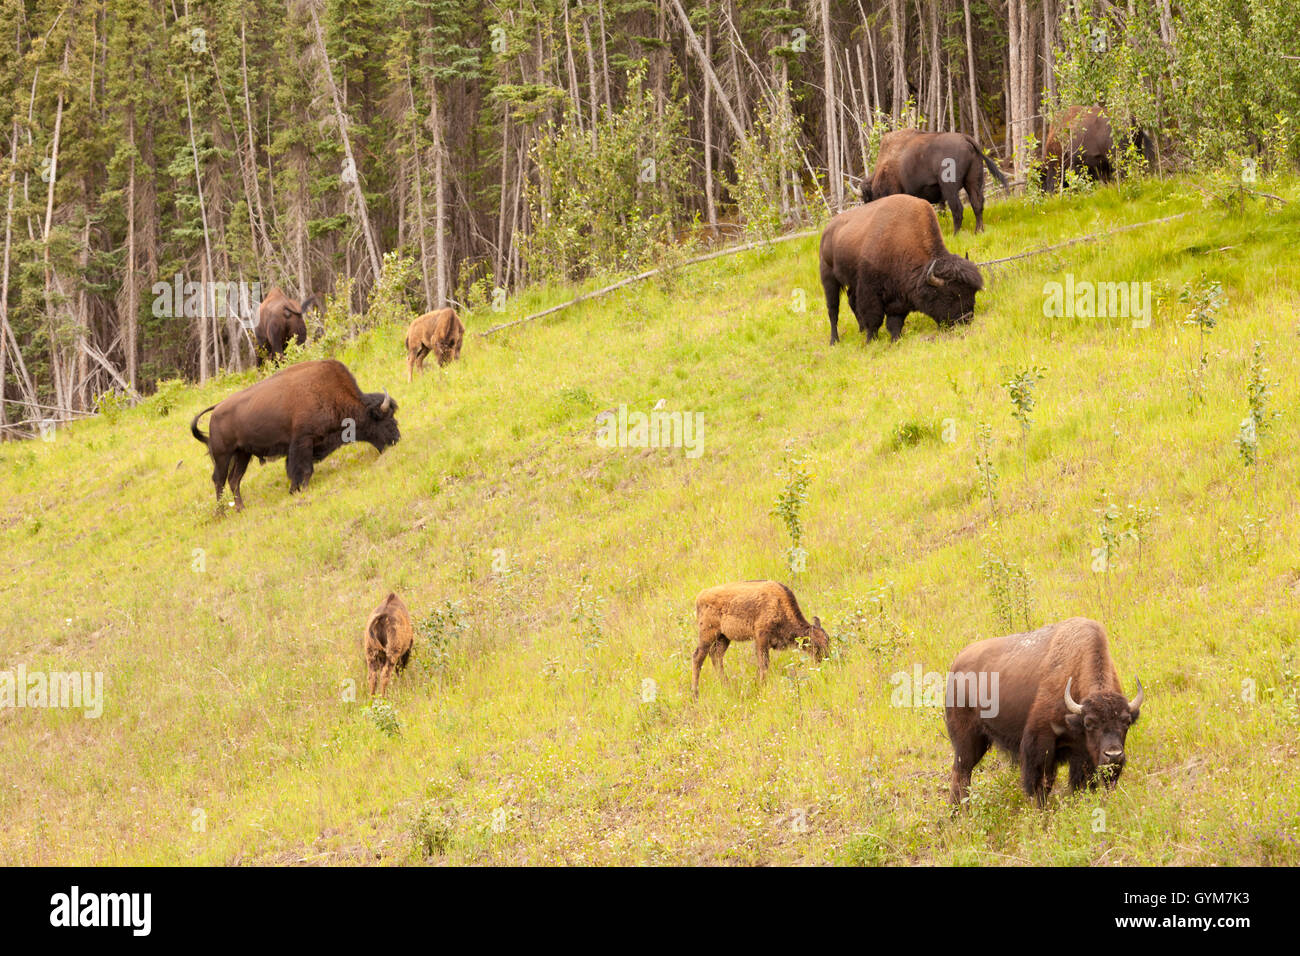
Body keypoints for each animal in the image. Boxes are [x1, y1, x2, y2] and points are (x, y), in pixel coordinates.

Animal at [189, 356, 395, 509]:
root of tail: (216, 410)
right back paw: (222, 511)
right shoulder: (303, 442)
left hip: (242, 454)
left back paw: (241, 508)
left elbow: (296, 470)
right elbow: (304, 469)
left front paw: (293, 490)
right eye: (385, 420)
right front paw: (300, 489)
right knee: (219, 480)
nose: (396, 439)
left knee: (234, 480)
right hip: (223, 456)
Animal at [691, 580, 832, 697]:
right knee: (698, 657)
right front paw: (762, 686)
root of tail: (700, 596)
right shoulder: (761, 639)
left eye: (828, 640)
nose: (826, 658)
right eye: (814, 644)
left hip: (724, 638)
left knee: (716, 656)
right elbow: (764, 664)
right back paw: (695, 694)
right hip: (708, 635)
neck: (779, 604)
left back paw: (726, 685)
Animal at [821, 192, 982, 345]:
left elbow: (895, 321)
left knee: (851, 300)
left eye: (972, 293)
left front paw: (895, 339)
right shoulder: (869, 289)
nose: (966, 319)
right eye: (950, 295)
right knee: (833, 310)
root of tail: (827, 230)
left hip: (851, 281)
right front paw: (871, 341)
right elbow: (874, 317)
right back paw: (834, 341)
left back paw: (861, 329)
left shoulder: (899, 295)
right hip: (829, 278)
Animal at [857, 128, 1008, 234]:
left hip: (949, 188)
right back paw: (978, 231)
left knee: (957, 209)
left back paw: (955, 235)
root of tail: (965, 138)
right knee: (977, 203)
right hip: (972, 182)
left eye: (868, 199)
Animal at [946, 621, 1149, 806]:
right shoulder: (1040, 745)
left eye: (1126, 722)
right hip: (967, 740)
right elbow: (1042, 785)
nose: (1113, 756)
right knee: (961, 774)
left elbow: (1081, 784)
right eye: (1089, 723)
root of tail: (956, 663)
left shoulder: (1082, 753)